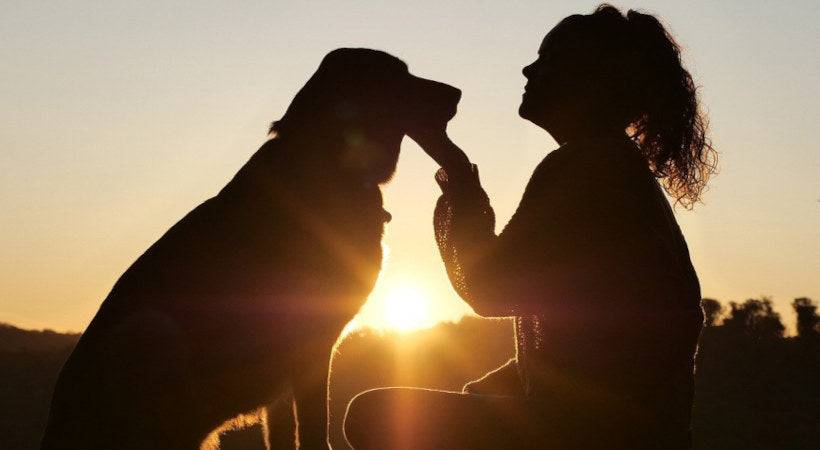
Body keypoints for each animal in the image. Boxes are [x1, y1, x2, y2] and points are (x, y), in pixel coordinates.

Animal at [41, 47, 462, 448]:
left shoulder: (286, 378)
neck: (327, 161)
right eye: (401, 76)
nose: (457, 93)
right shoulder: (312, 344)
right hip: (149, 331)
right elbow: (315, 431)